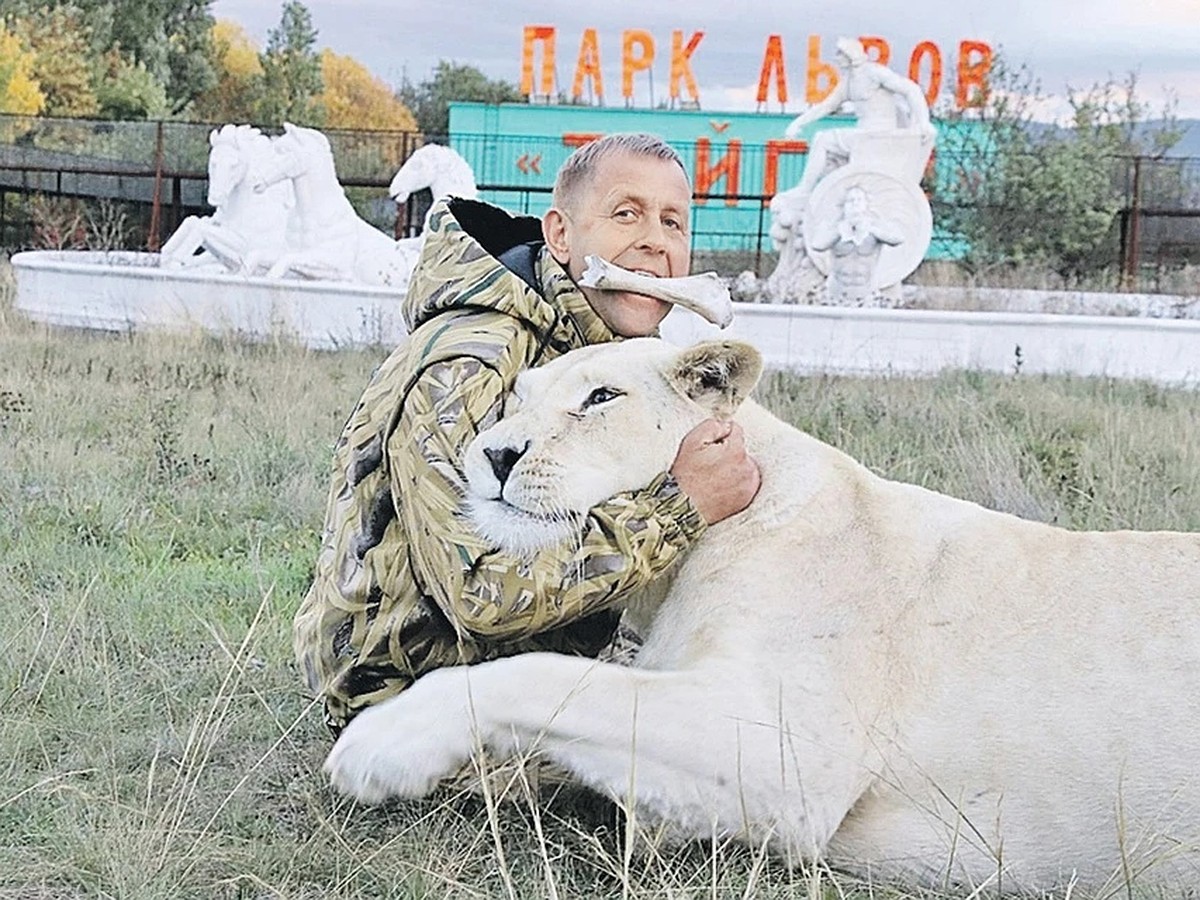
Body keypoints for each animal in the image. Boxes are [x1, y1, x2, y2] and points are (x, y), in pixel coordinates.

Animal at [324, 338, 1200, 897]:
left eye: (603, 397)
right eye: (513, 398)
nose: (493, 455)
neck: (678, 572)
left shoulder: (797, 758)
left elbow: (547, 677)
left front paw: (382, 747)